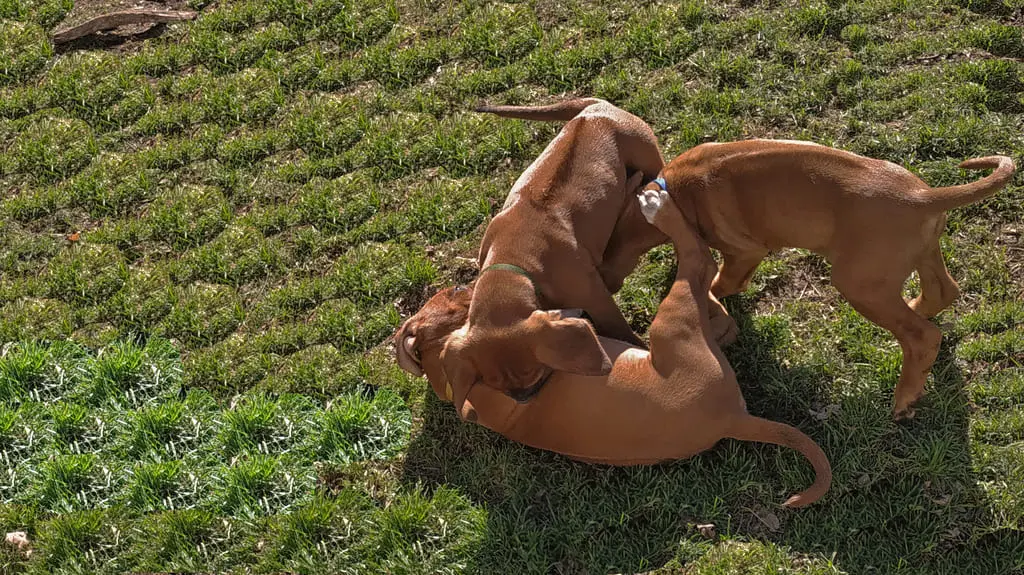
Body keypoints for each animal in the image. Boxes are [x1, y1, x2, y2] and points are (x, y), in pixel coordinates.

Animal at [391, 188, 831, 505]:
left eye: (454, 291)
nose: (462, 283)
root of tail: (733, 419)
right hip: (671, 321)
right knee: (697, 261)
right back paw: (661, 210)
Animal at [647, 139, 1015, 415]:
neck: (677, 186)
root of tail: (922, 197)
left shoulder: (744, 252)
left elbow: (722, 282)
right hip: (922, 255)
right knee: (944, 291)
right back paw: (918, 311)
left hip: (859, 284)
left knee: (923, 337)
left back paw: (904, 398)